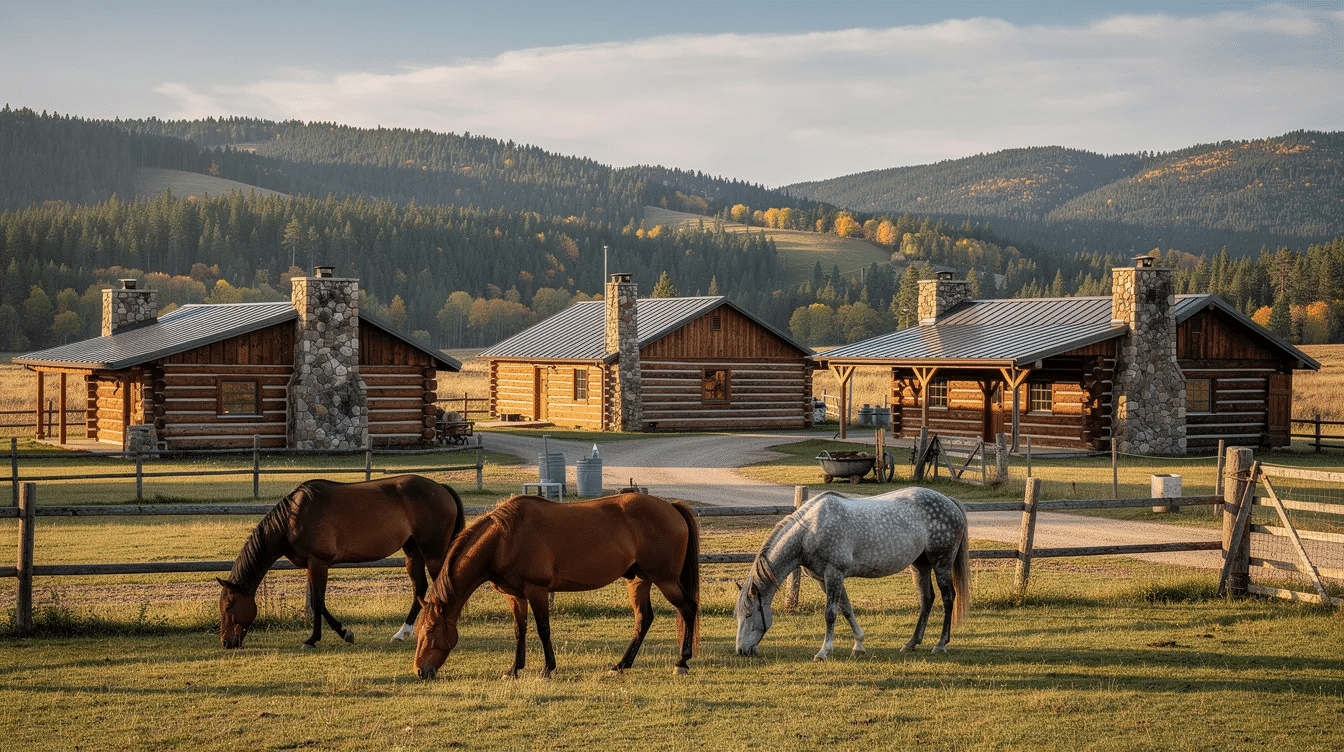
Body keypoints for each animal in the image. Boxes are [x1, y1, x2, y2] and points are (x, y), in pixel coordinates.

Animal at [217, 474, 465, 649]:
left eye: (228, 607)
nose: (227, 643)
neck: (293, 518)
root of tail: (441, 488)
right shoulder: (311, 566)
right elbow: (317, 601)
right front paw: (321, 637)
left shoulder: (319, 563)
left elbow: (319, 602)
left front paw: (330, 636)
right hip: (413, 553)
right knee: (420, 589)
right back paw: (402, 634)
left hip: (433, 554)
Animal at [414, 492, 700, 680]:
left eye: (429, 631)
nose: (419, 671)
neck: (505, 538)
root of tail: (672, 507)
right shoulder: (515, 596)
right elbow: (520, 630)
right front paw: (514, 669)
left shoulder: (537, 590)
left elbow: (543, 630)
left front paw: (547, 669)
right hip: (639, 581)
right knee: (644, 619)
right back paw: (622, 664)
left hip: (666, 580)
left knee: (688, 608)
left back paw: (681, 662)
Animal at [735, 487, 969, 661]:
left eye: (748, 614)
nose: (741, 651)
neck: (811, 529)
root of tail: (948, 501)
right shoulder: (824, 579)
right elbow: (846, 609)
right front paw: (859, 645)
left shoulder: (834, 574)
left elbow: (830, 613)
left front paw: (824, 651)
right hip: (920, 565)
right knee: (927, 599)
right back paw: (911, 643)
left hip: (941, 563)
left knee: (948, 598)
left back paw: (940, 644)